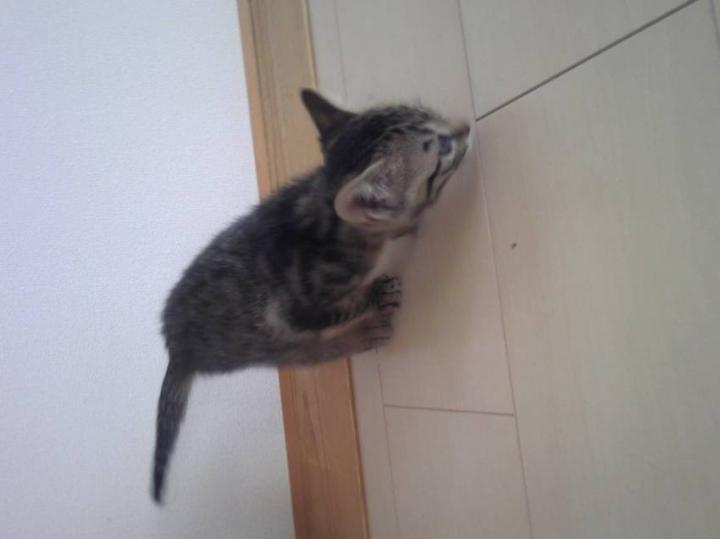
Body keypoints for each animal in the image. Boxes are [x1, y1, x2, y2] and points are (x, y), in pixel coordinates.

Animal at [152, 89, 470, 503]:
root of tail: (174, 345)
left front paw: (405, 227)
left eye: (426, 111)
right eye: (442, 151)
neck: (328, 212)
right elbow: (339, 307)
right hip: (258, 341)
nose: (465, 127)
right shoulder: (298, 308)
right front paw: (374, 292)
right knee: (306, 350)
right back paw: (364, 332)